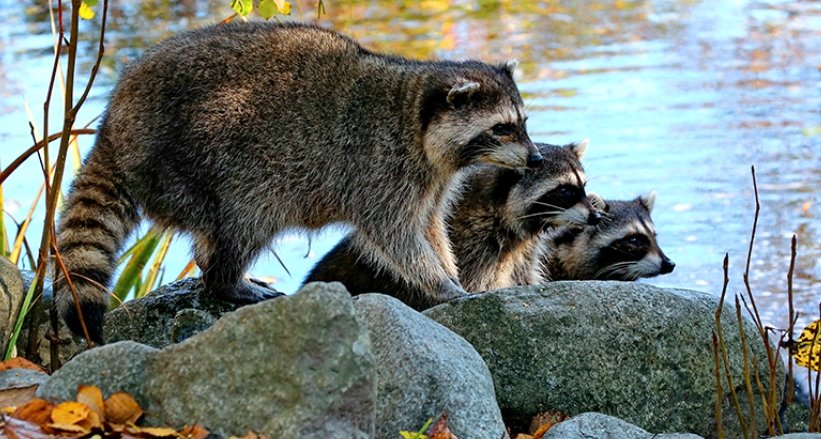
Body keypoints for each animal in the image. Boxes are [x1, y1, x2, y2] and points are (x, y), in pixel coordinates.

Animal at [55, 22, 543, 342]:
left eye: (523, 123)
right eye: (502, 129)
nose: (536, 157)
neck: (415, 116)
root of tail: (115, 122)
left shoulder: (430, 181)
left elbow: (429, 227)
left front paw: (446, 271)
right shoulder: (380, 170)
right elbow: (395, 236)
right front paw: (440, 282)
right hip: (193, 160)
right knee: (246, 218)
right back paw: (226, 279)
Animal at [304, 140, 601, 310]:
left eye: (583, 187)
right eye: (564, 191)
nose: (596, 217)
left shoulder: (522, 251)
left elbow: (524, 278)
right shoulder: (474, 248)